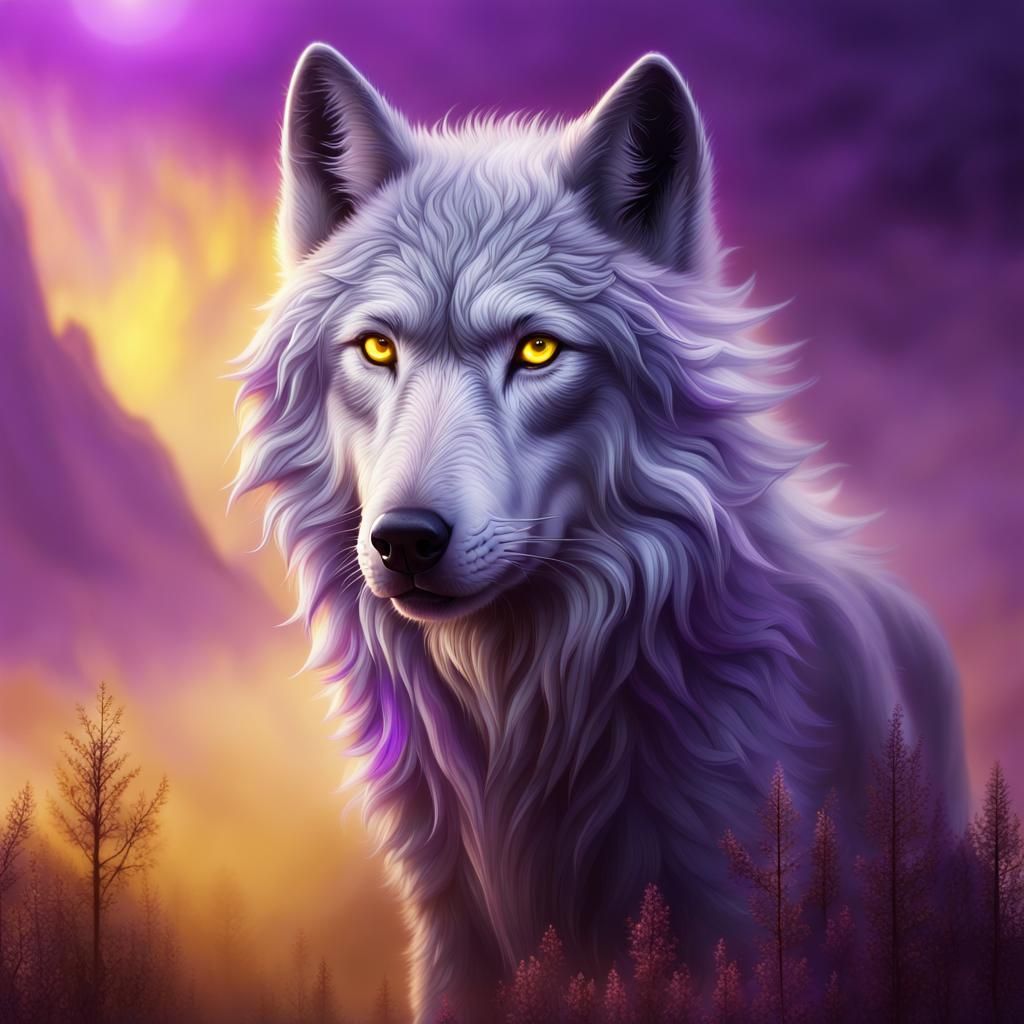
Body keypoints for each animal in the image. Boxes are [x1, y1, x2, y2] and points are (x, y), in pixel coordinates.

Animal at [232, 44, 968, 1022]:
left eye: (538, 350)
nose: (406, 540)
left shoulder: (740, 916)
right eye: (378, 348)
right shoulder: (453, 927)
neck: (525, 716)